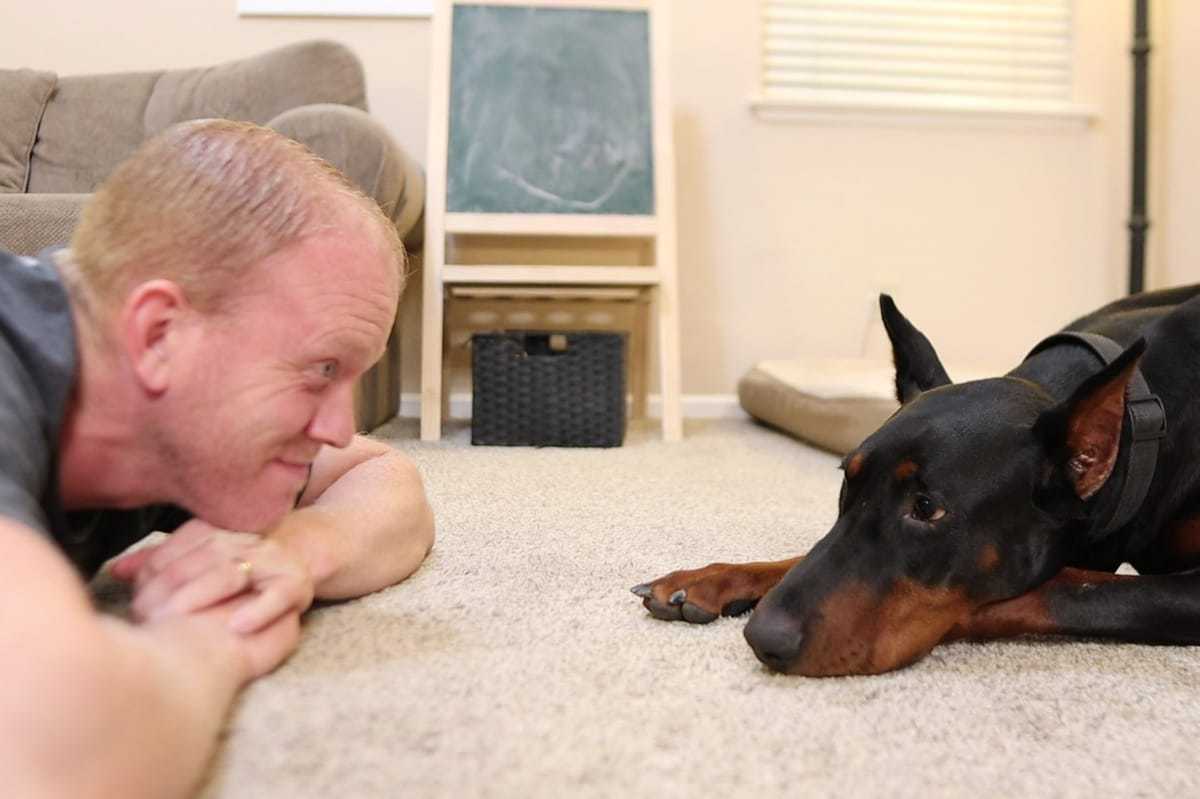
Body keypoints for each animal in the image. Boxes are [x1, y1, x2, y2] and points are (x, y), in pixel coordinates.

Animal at [633, 286, 1200, 671]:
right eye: (846, 483)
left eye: (927, 508)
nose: (762, 637)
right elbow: (807, 553)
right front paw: (704, 580)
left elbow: (1062, 587)